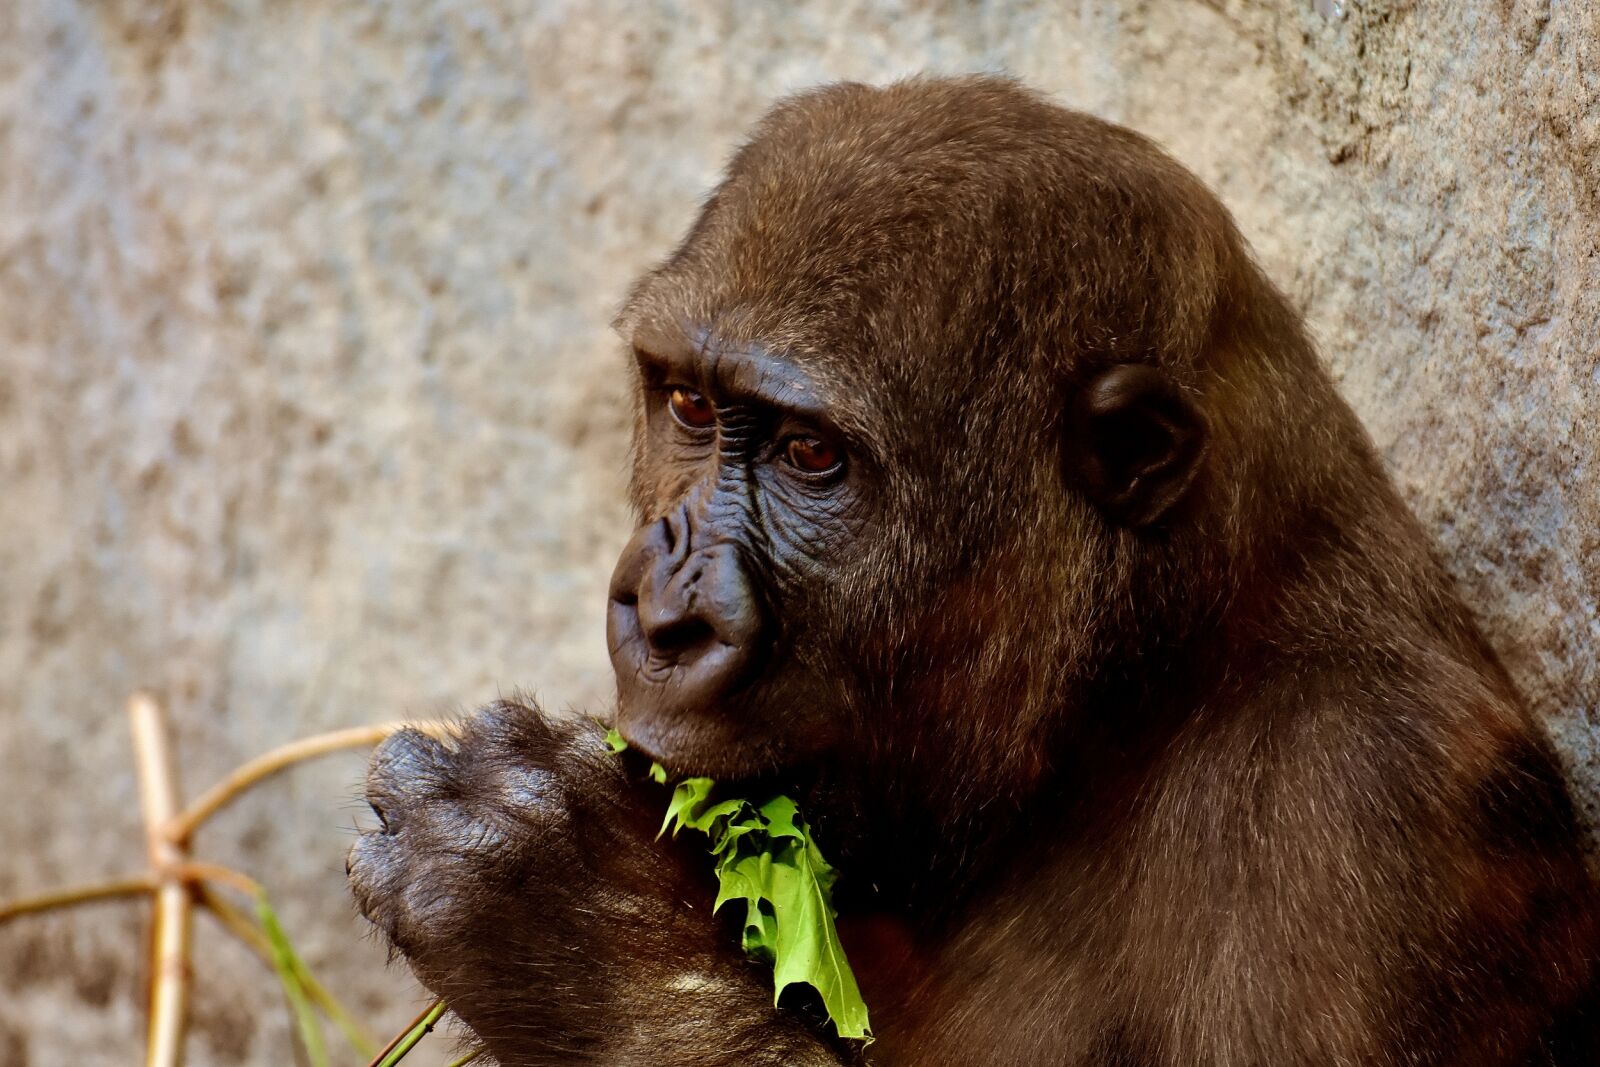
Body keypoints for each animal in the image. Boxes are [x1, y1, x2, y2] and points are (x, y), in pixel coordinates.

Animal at [348, 75, 1600, 1065]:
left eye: (811, 456)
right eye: (690, 407)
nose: (661, 617)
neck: (1145, 687)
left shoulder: (1370, 809)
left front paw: (576, 931)